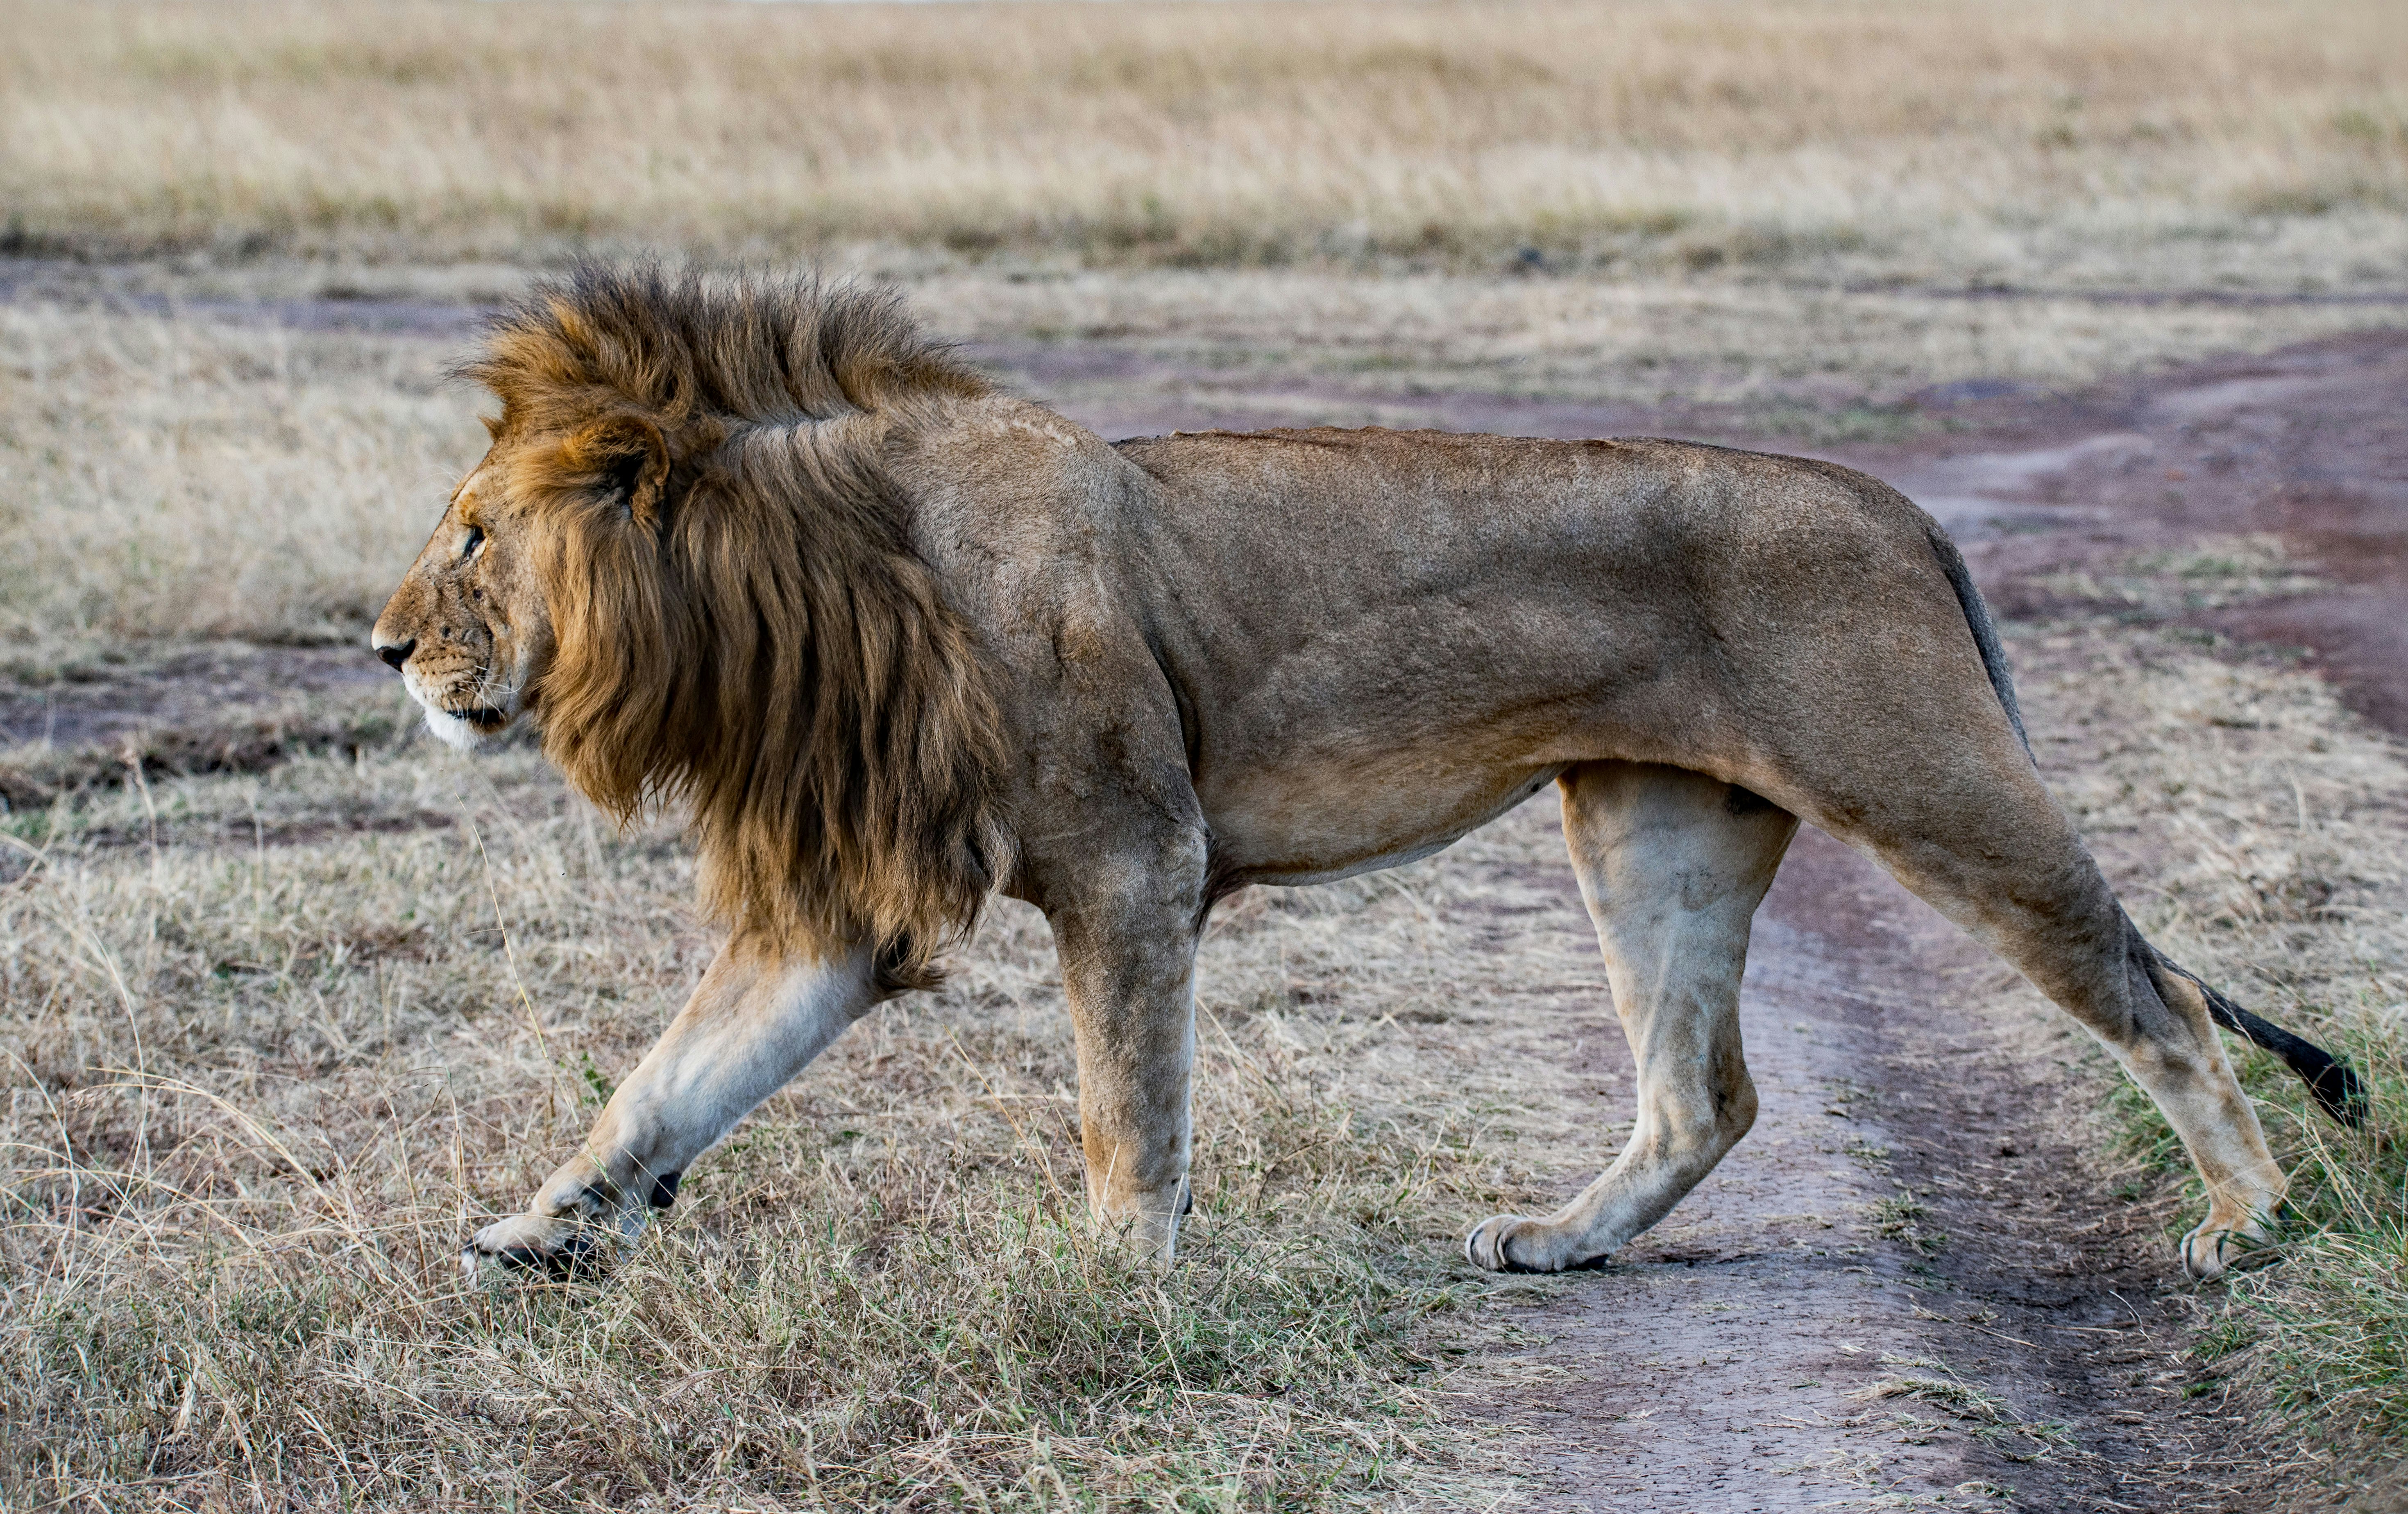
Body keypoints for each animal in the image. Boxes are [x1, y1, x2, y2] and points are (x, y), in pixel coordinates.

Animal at [366, 266, 2360, 1281]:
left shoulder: (1133, 860)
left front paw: (1119, 1286)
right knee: (1703, 1093)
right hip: (1650, 828)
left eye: (471, 538)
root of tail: (1899, 504)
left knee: (2158, 995)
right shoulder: (845, 906)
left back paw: (2251, 1222)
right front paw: (540, 1229)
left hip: (1932, 786)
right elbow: (667, 1082)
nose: (378, 650)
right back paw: (1559, 1241)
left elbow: (1126, 1105)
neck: (823, 582)